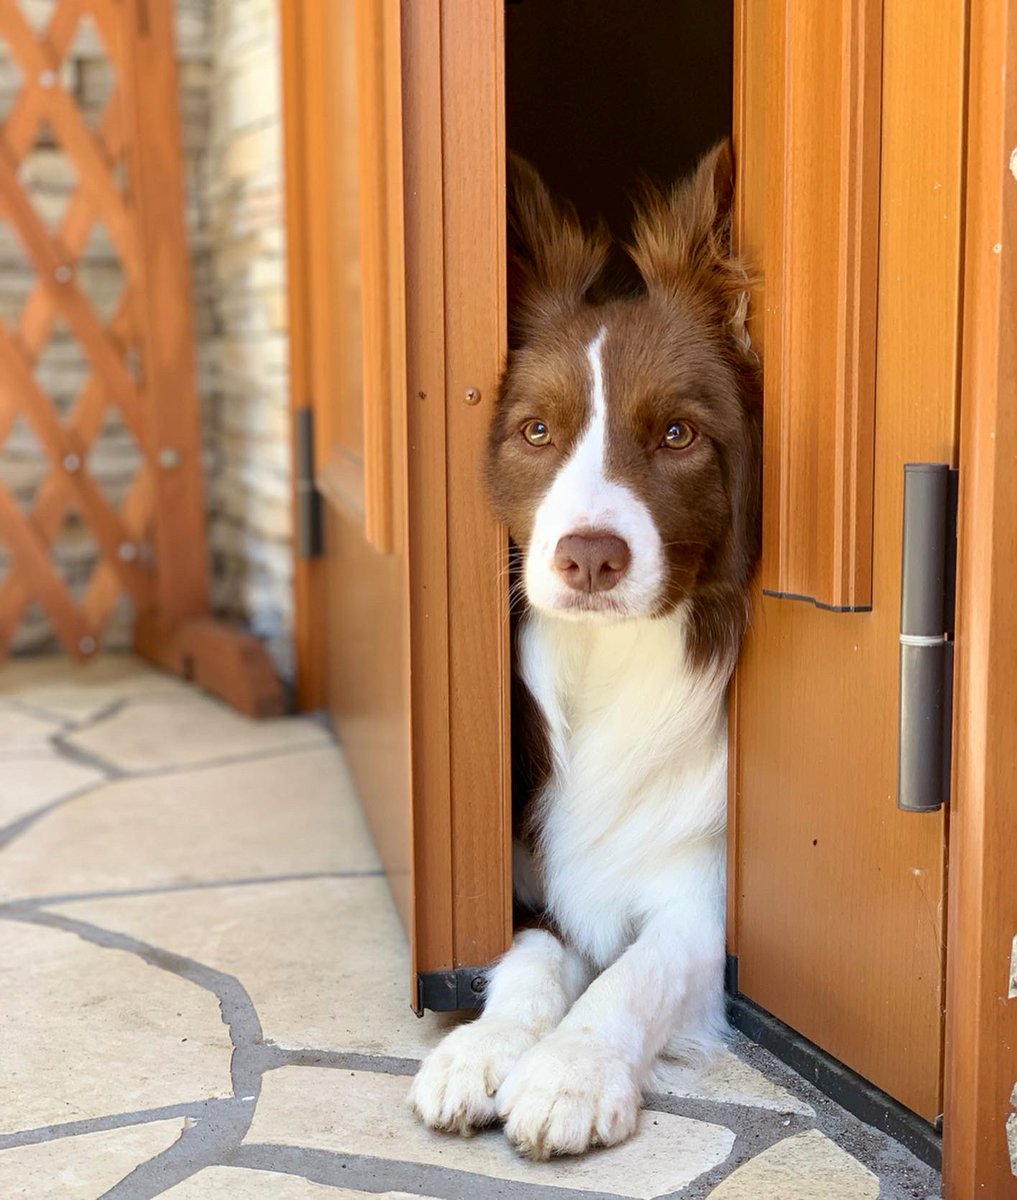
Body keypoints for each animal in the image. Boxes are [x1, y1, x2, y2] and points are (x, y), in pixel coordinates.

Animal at [410, 142, 757, 1161]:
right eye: (536, 430)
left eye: (677, 433)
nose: (590, 558)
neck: (614, 664)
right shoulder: (523, 876)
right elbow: (525, 957)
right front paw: (482, 1048)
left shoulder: (705, 901)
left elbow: (631, 975)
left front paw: (570, 1072)